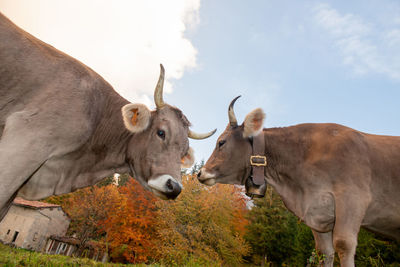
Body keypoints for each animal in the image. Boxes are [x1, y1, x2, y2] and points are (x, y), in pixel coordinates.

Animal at [197, 97, 400, 267]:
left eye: (221, 142)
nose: (200, 173)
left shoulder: (353, 199)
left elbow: (344, 245)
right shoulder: (319, 214)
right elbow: (324, 253)